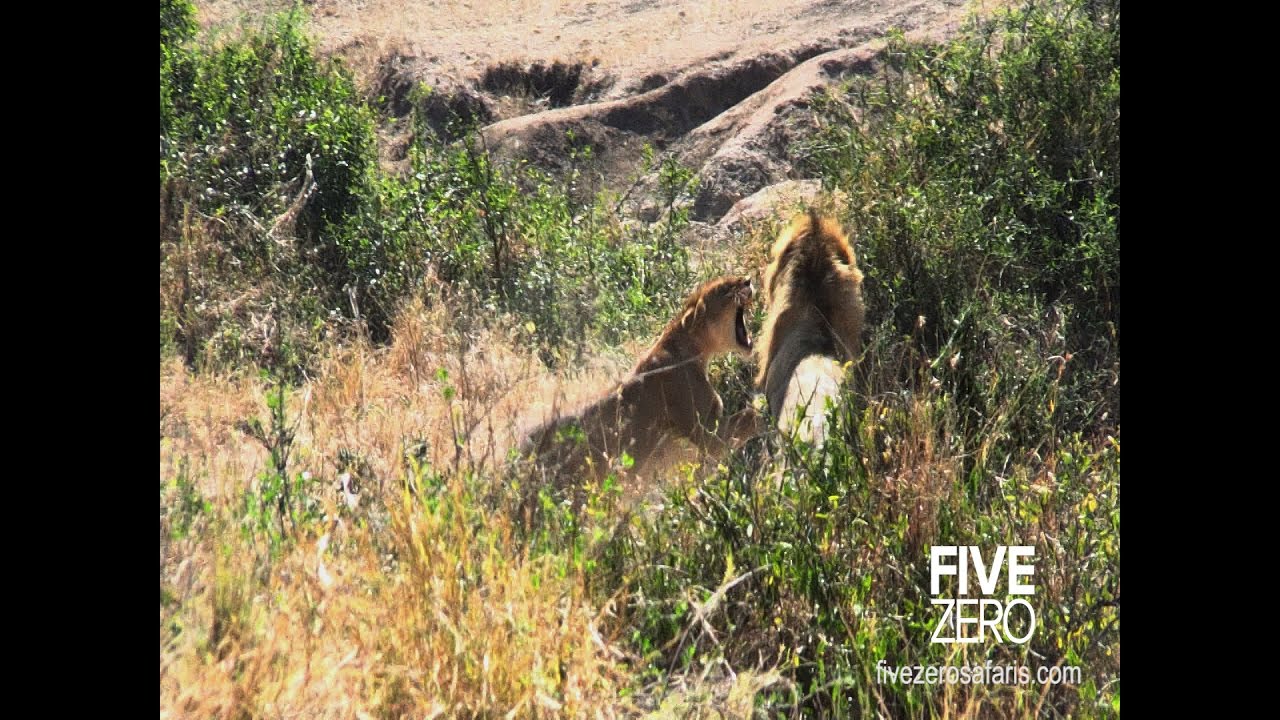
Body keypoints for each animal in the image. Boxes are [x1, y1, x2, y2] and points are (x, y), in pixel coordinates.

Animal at [520, 275, 762, 506]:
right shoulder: (705, 431)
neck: (694, 349)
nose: (748, 280)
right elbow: (748, 417)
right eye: (724, 288)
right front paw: (766, 413)